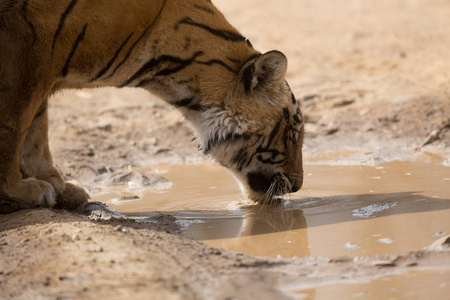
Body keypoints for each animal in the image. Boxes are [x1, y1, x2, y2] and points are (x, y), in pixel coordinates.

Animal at [0, 0, 304, 211]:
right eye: (292, 133)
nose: (299, 185)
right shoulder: (28, 49)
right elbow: (13, 128)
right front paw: (18, 191)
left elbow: (37, 133)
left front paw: (59, 188)